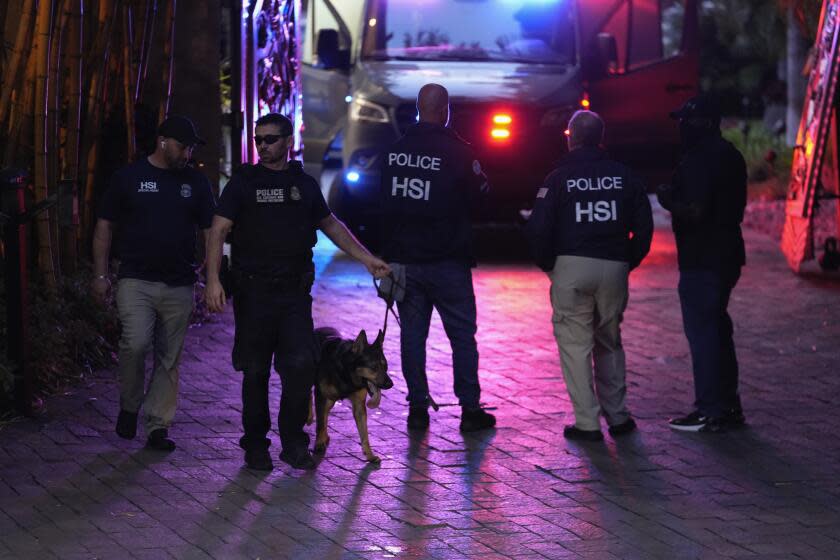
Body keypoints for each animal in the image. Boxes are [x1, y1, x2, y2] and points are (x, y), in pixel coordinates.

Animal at [310, 326, 396, 462]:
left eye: (385, 367)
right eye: (374, 367)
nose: (390, 384)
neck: (346, 373)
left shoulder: (359, 406)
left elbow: (364, 433)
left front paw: (369, 454)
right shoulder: (321, 397)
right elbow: (319, 424)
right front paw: (319, 443)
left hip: (330, 401)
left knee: (325, 414)